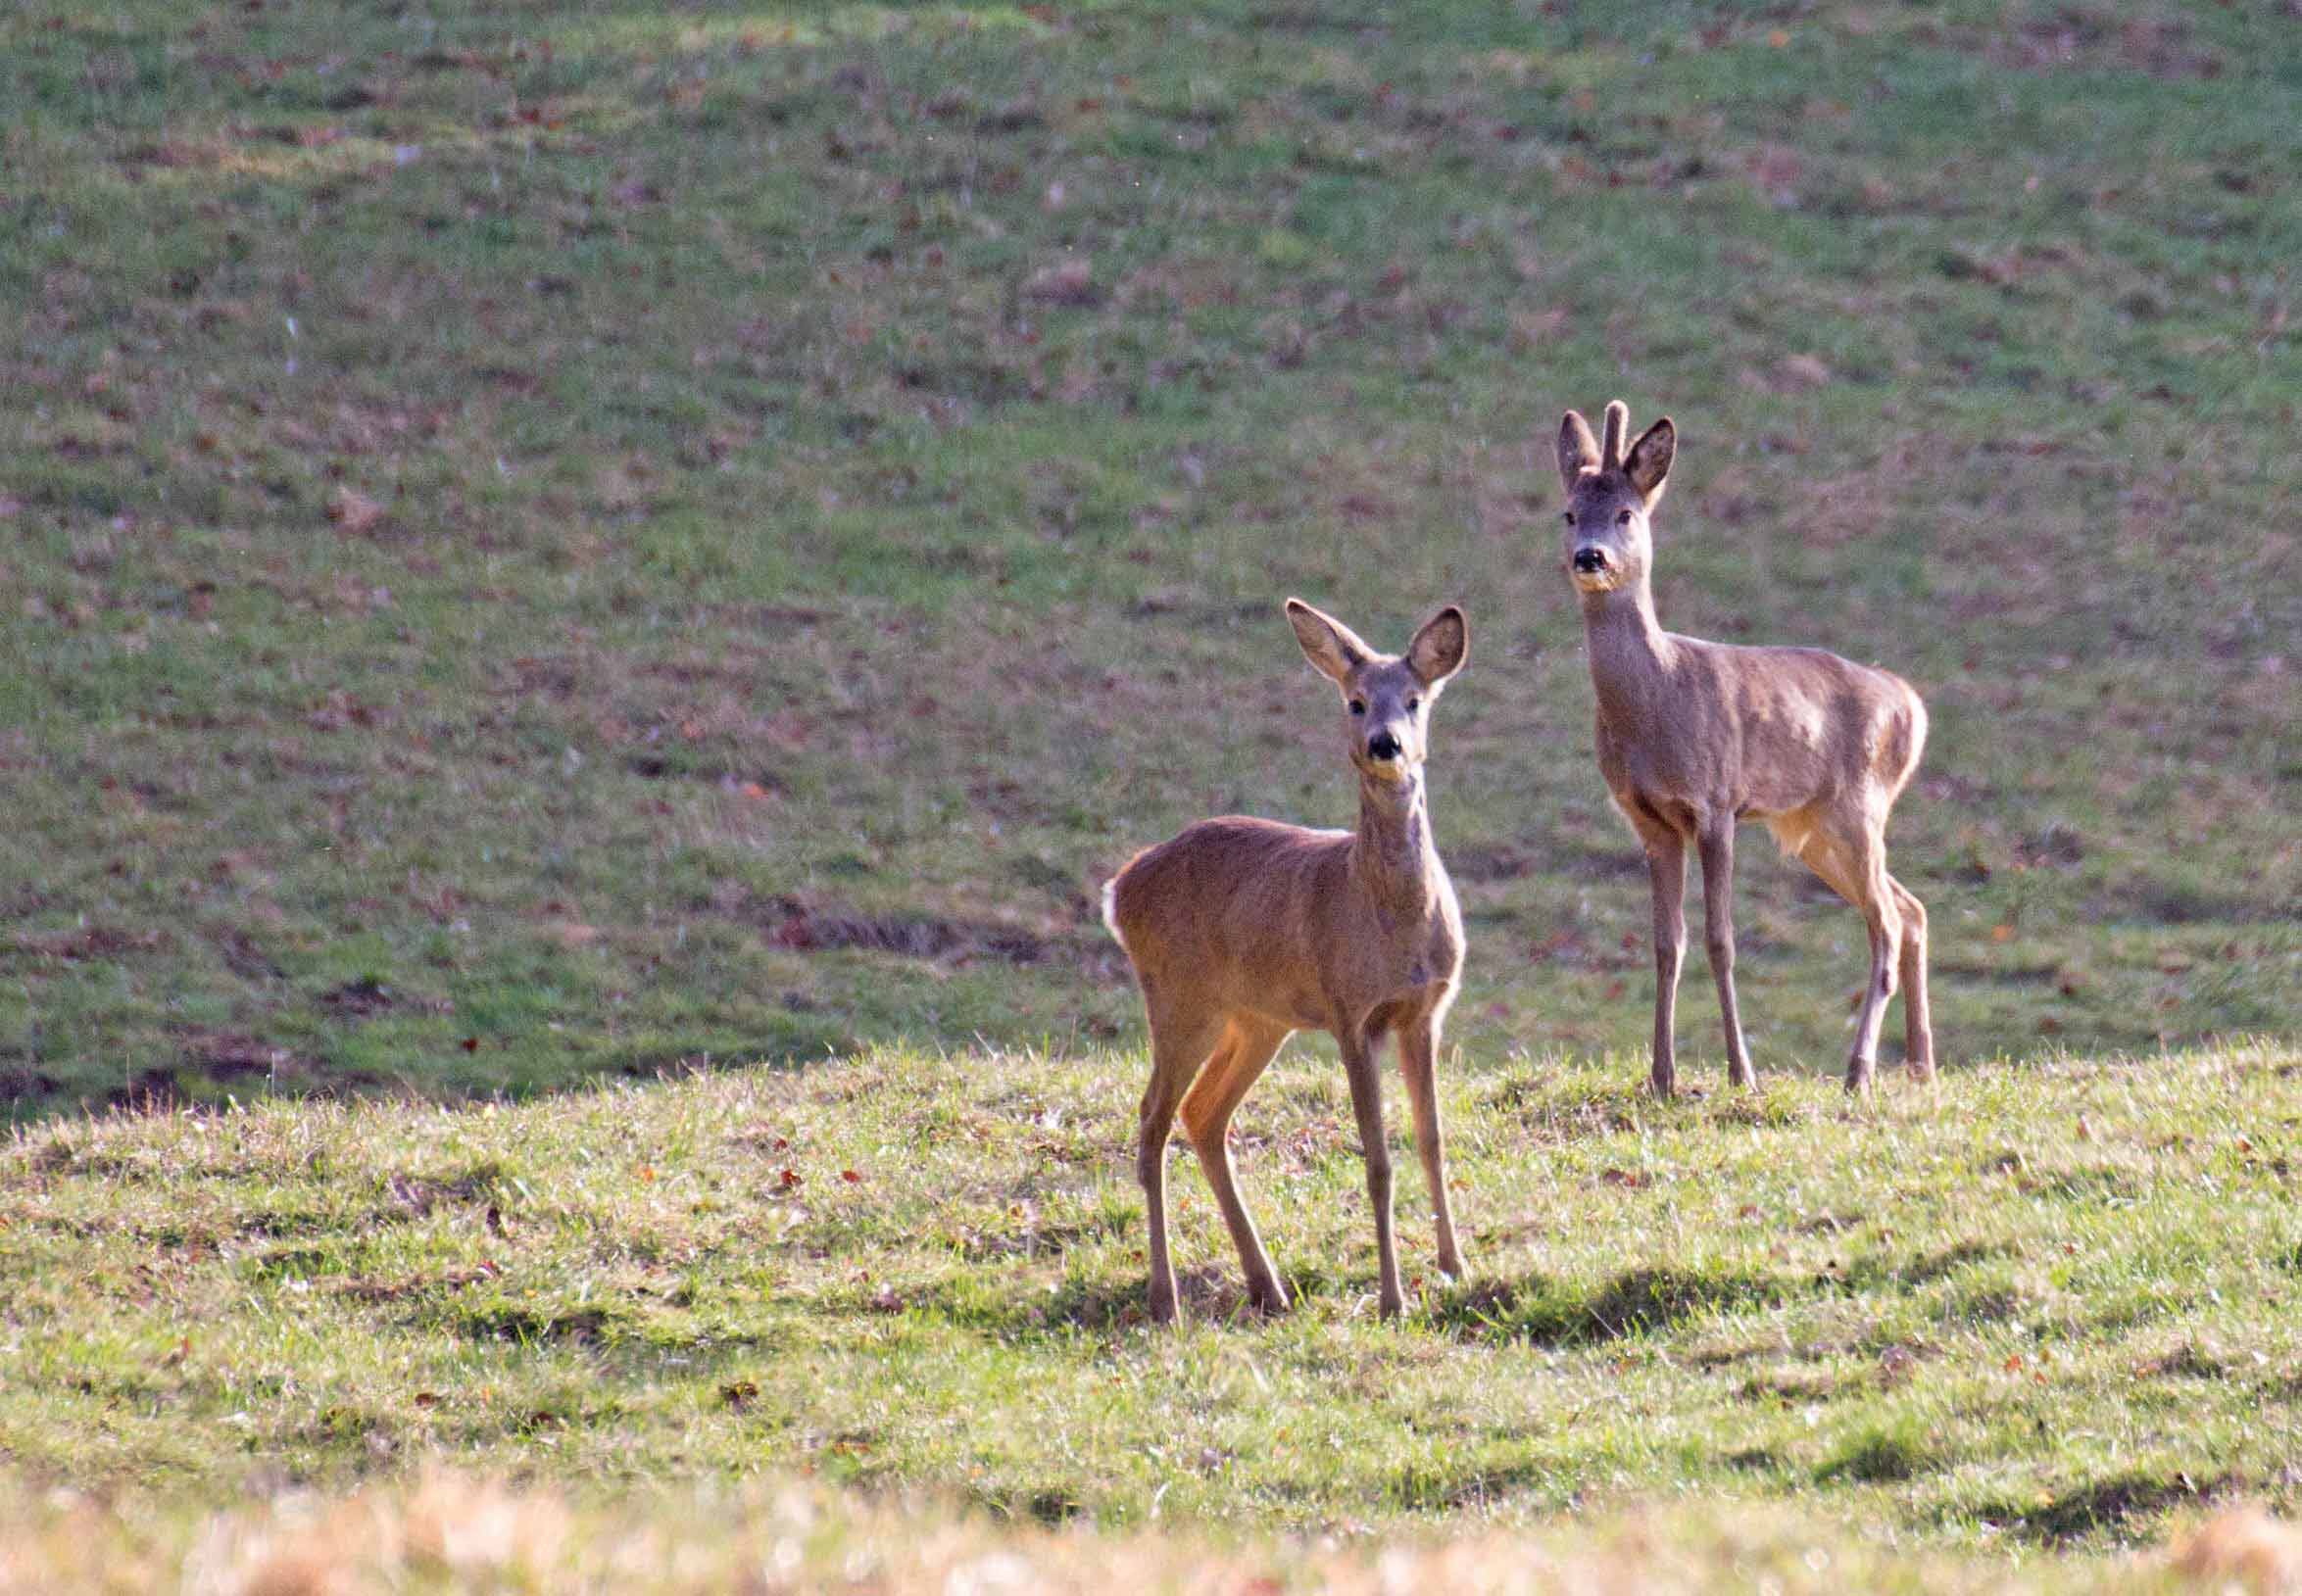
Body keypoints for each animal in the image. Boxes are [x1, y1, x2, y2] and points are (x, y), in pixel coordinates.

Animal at [1109, 599, 1473, 1317]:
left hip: (1256, 1018)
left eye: (1414, 700)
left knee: (1203, 1114)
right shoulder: (1349, 1011)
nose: (1385, 743)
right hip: (1177, 998)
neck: (1393, 923)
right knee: (1152, 1120)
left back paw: (1267, 1285)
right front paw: (1393, 1298)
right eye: (1355, 701)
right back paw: (1166, 1295)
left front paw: (1453, 1265)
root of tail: (1120, 887)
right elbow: (1377, 1160)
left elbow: (1432, 1140)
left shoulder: (1425, 1011)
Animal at [1555, 398, 1934, 1095]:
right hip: (1811, 829)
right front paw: (1661, 1076)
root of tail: (1911, 704)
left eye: (1626, 513)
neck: (1658, 704)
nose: (1590, 557)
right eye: (1569, 513)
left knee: (1887, 923)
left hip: (1859, 806)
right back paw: (1921, 1064)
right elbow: (1666, 943)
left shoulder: (1716, 802)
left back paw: (1859, 1070)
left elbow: (1721, 939)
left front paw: (1742, 1072)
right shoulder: (1650, 820)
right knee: (1911, 909)